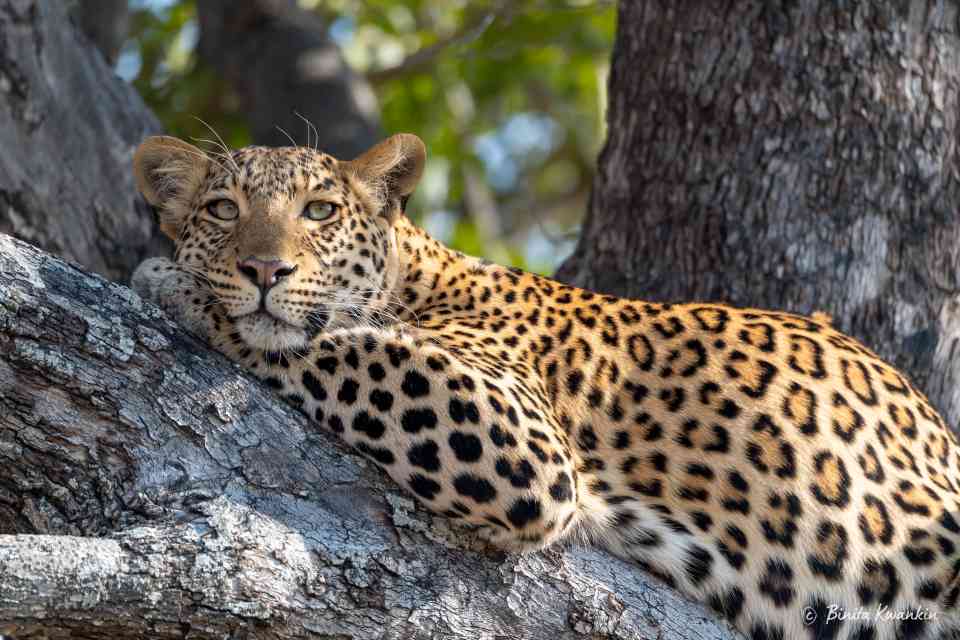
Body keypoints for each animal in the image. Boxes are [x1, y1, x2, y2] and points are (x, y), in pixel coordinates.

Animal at [131, 133, 960, 640]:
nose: (263, 270)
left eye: (320, 210)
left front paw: (175, 284)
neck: (421, 275)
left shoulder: (518, 440)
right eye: (222, 210)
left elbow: (331, 344)